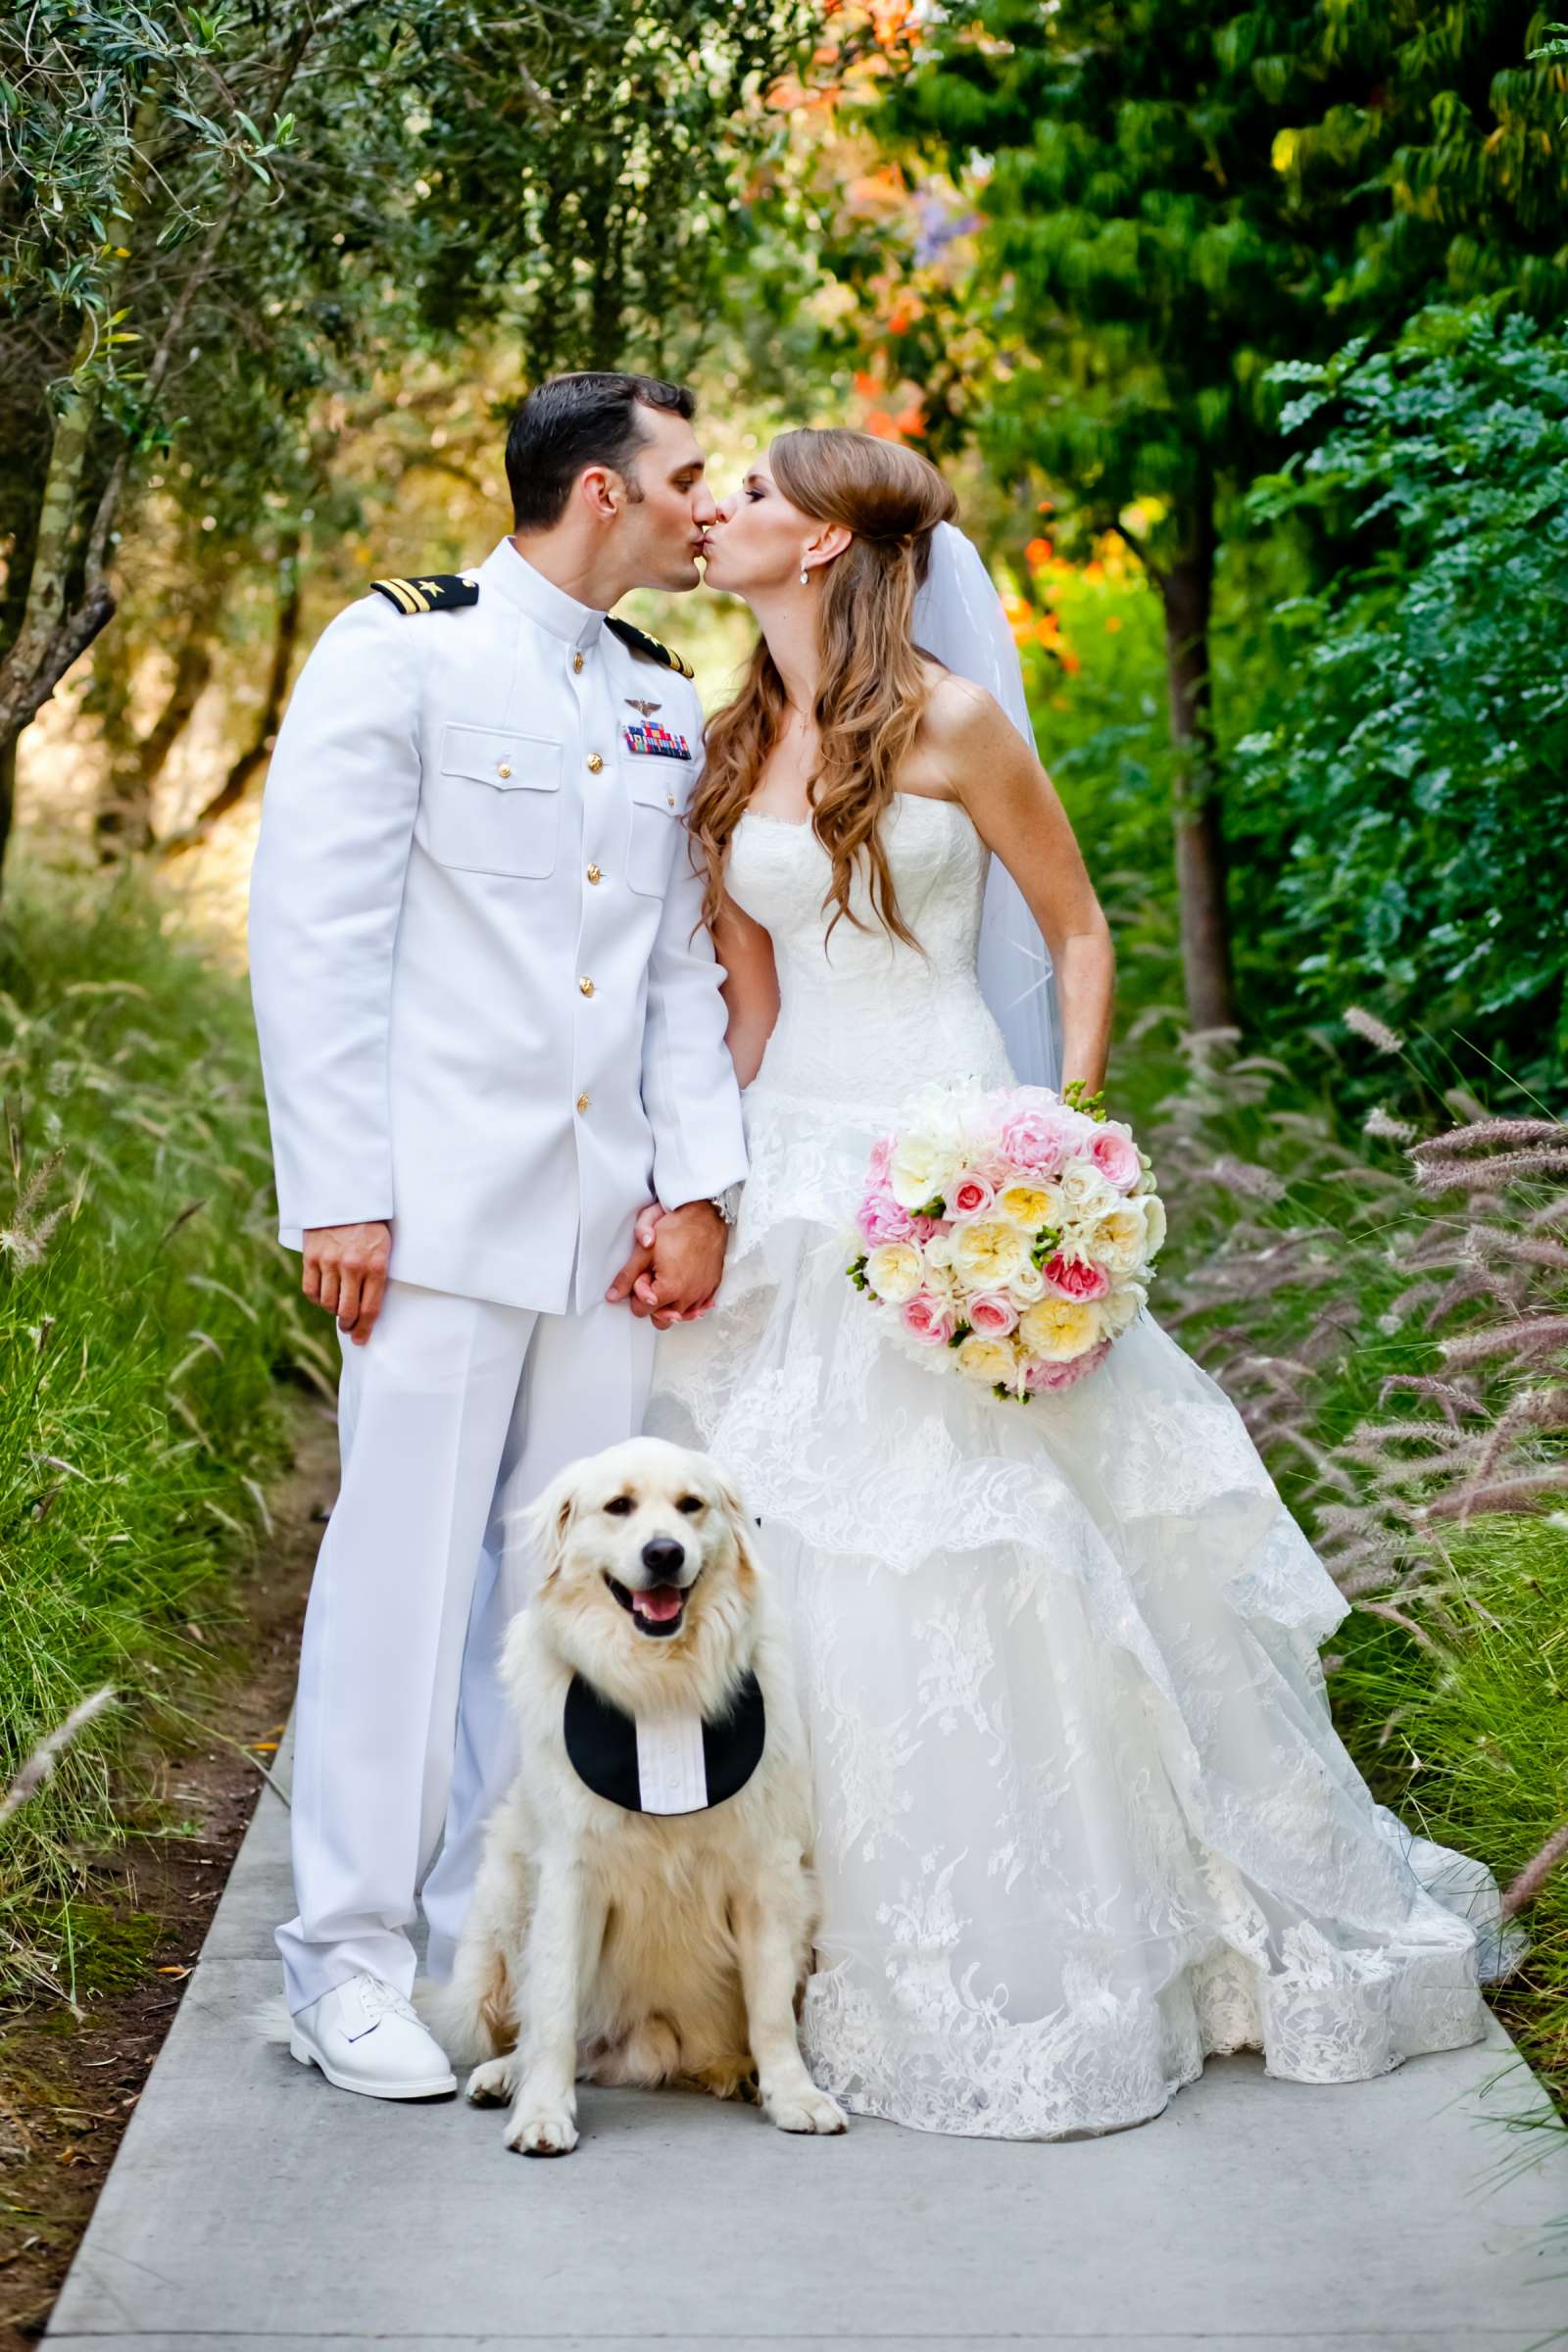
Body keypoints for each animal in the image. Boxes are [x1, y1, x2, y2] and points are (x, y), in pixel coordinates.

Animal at [420, 1420, 846, 2154]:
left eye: (691, 1506)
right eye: (618, 1507)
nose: (664, 1553)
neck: (661, 1688)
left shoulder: (768, 1874)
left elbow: (769, 2010)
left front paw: (794, 2094)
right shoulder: (571, 1876)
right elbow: (554, 2011)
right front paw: (542, 2113)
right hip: (501, 1904)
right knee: (536, 2027)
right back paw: (505, 2076)